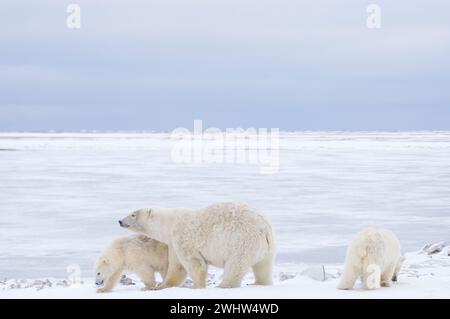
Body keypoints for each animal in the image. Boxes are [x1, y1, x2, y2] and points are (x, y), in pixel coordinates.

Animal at [118, 202, 274, 290]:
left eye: (133, 214)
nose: (120, 221)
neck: (169, 223)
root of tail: (264, 228)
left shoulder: (182, 237)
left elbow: (193, 263)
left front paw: (196, 286)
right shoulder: (172, 242)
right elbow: (177, 266)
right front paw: (163, 285)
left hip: (242, 240)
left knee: (235, 265)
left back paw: (224, 285)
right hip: (267, 248)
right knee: (263, 267)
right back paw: (260, 283)